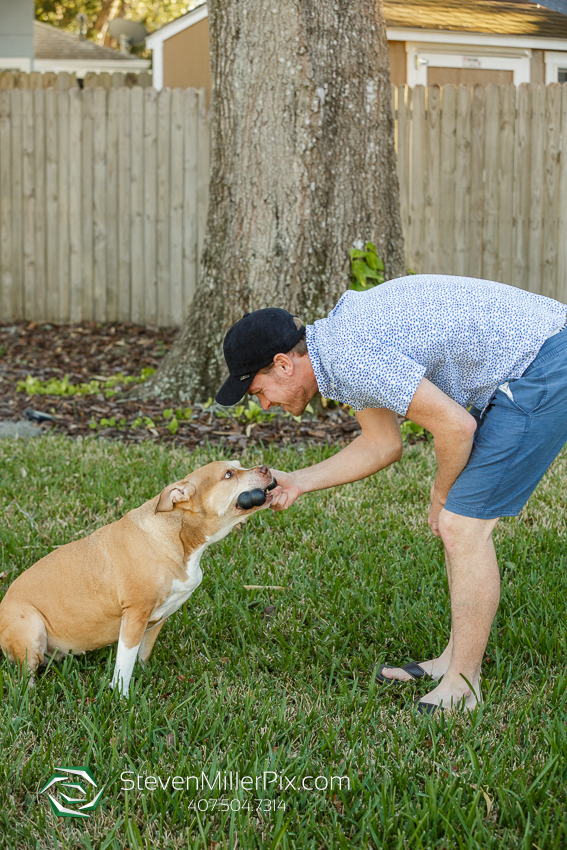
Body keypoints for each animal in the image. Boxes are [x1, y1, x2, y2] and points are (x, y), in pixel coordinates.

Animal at [0, 460, 280, 692]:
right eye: (228, 474)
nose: (266, 467)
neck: (180, 538)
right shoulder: (135, 616)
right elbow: (124, 664)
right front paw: (121, 697)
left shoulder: (157, 619)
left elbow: (142, 655)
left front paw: (144, 674)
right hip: (30, 625)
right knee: (26, 674)